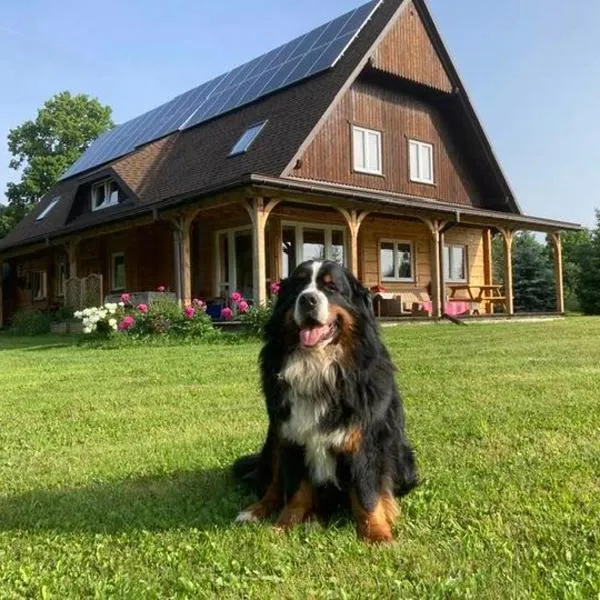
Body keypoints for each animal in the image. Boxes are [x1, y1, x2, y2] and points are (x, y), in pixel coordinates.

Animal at [233, 260, 418, 540]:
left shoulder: (363, 440)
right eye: (298, 284)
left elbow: (367, 493)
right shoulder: (291, 436)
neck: (319, 367)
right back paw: (258, 511)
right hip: (274, 439)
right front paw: (284, 526)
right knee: (273, 486)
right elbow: (295, 491)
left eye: (331, 288)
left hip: (403, 459)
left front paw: (377, 534)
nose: (307, 299)